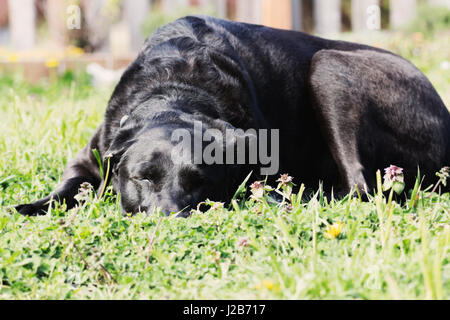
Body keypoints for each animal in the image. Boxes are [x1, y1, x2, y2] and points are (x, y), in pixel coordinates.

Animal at [14, 16, 450, 218]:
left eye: (200, 181)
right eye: (142, 177)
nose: (170, 219)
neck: (177, 88)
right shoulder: (94, 153)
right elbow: (68, 186)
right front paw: (32, 206)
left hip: (328, 66)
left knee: (359, 186)